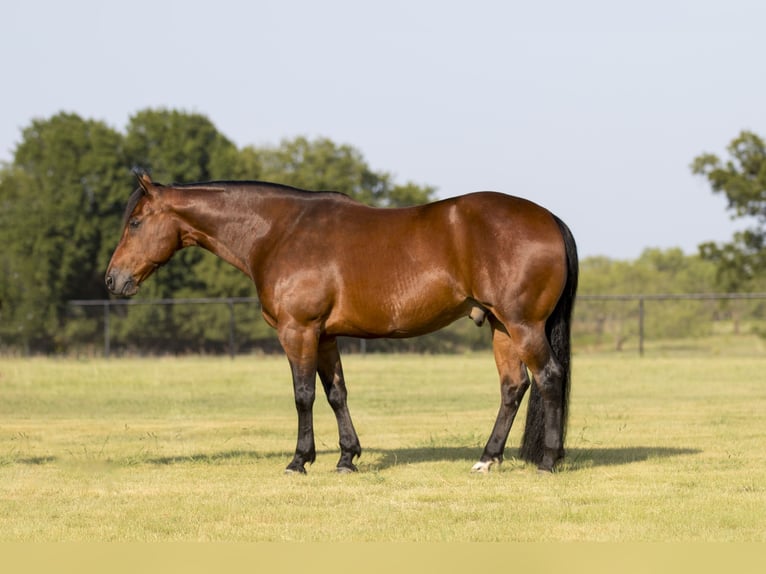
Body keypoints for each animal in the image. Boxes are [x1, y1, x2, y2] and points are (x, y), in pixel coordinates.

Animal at [105, 169, 580, 474]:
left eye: (136, 222)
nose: (113, 279)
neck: (279, 232)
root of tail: (550, 219)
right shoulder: (325, 336)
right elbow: (336, 394)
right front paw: (347, 457)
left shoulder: (298, 331)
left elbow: (303, 396)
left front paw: (299, 460)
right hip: (501, 327)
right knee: (513, 387)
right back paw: (487, 458)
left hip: (523, 325)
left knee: (549, 377)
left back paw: (548, 460)